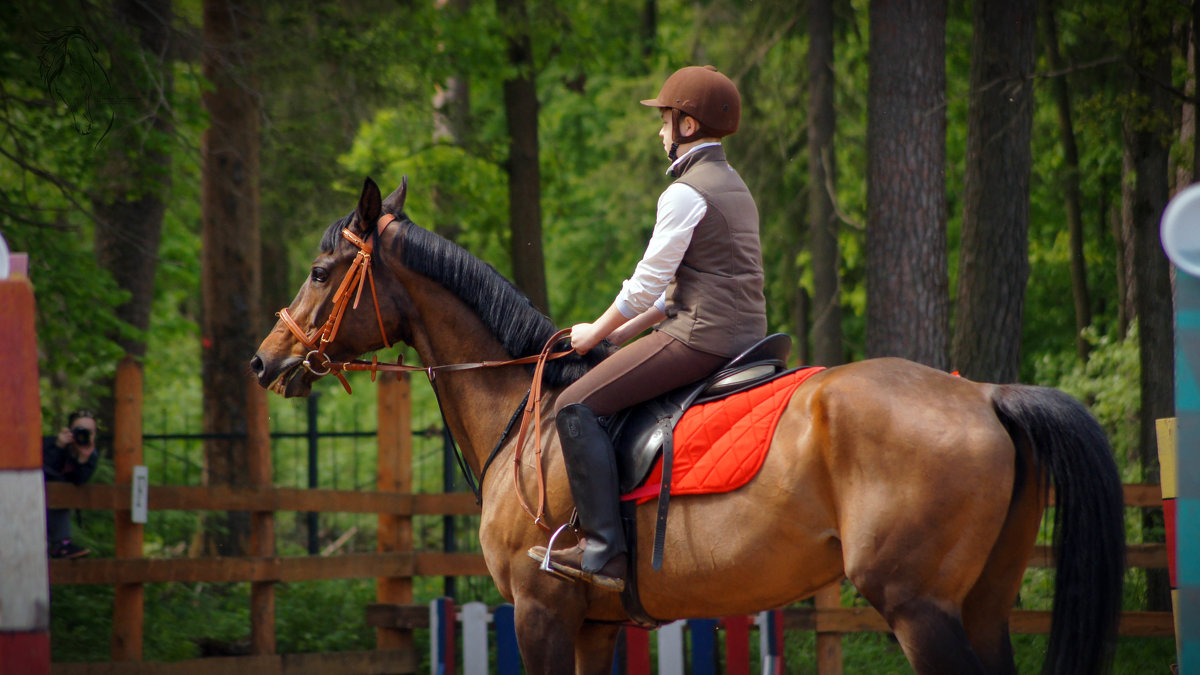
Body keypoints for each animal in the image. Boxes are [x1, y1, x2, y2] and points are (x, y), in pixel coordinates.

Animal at [250, 178, 1123, 672]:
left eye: (322, 271)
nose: (265, 360)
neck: (526, 418)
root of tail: (986, 396)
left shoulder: (541, 611)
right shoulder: (595, 625)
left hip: (920, 608)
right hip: (982, 604)